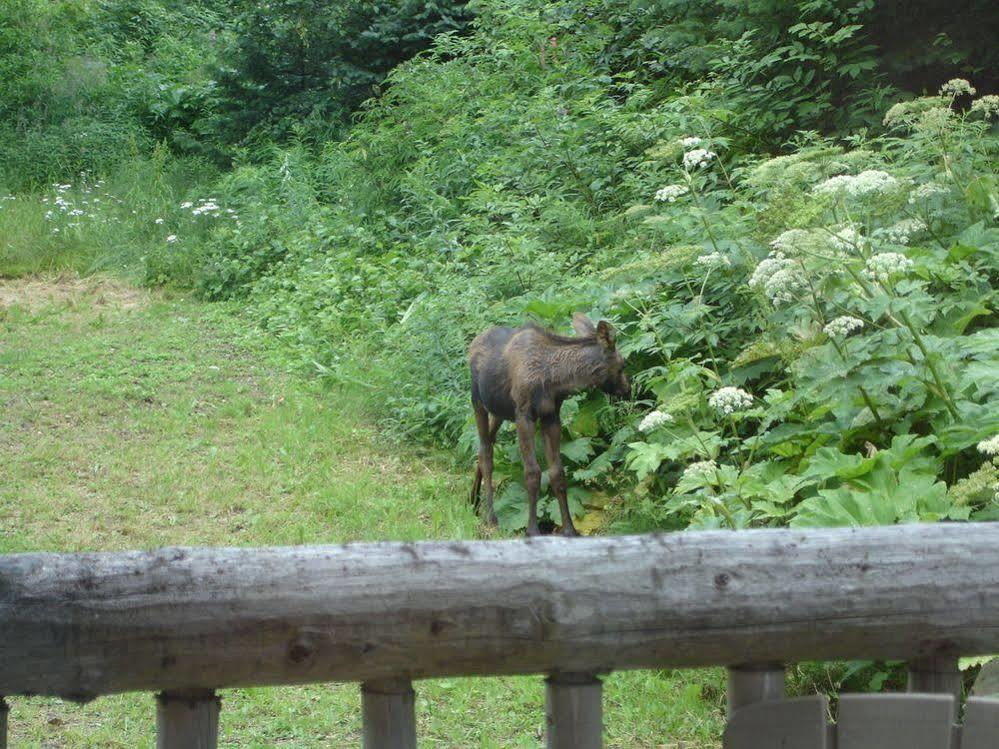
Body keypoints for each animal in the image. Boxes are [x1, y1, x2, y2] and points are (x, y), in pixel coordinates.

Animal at [466, 312, 624, 536]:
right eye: (623, 365)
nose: (627, 389)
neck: (556, 381)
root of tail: (475, 340)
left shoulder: (551, 416)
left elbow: (557, 472)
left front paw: (570, 529)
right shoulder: (524, 416)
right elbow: (533, 473)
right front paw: (532, 529)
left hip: (500, 412)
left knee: (483, 448)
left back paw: (473, 501)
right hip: (478, 402)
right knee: (486, 454)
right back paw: (491, 516)